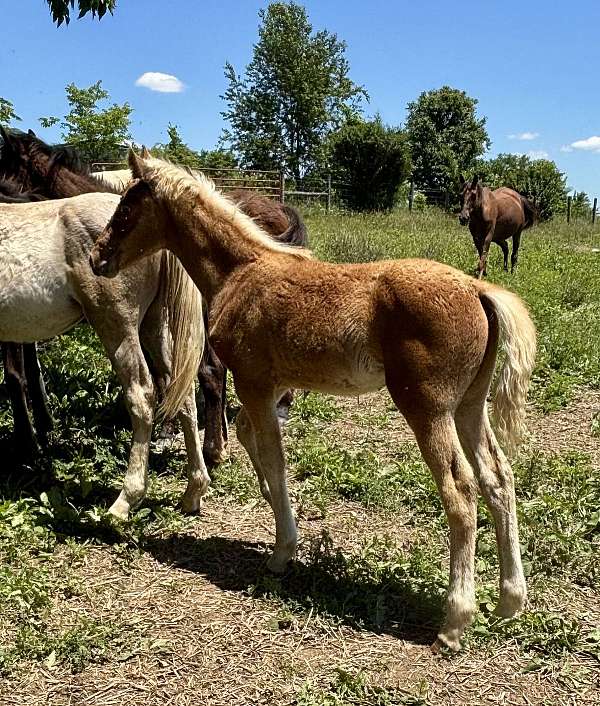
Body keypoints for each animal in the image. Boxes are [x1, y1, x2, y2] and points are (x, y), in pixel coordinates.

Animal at [91, 152, 537, 652]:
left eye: (126, 208)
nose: (96, 257)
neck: (240, 270)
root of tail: (478, 290)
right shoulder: (269, 385)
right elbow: (250, 437)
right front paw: (274, 509)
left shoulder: (253, 381)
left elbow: (273, 454)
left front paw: (282, 551)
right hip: (469, 406)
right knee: (498, 478)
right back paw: (509, 601)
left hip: (428, 408)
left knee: (460, 491)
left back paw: (455, 620)